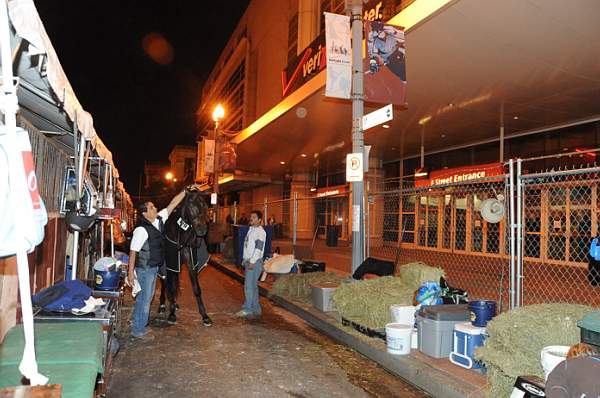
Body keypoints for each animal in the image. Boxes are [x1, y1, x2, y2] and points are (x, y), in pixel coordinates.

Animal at [159, 190, 213, 326]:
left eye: (205, 206)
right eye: (191, 206)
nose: (202, 229)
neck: (183, 235)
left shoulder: (191, 263)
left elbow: (197, 289)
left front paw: (205, 316)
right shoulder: (171, 263)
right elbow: (171, 287)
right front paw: (172, 314)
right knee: (164, 282)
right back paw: (162, 304)